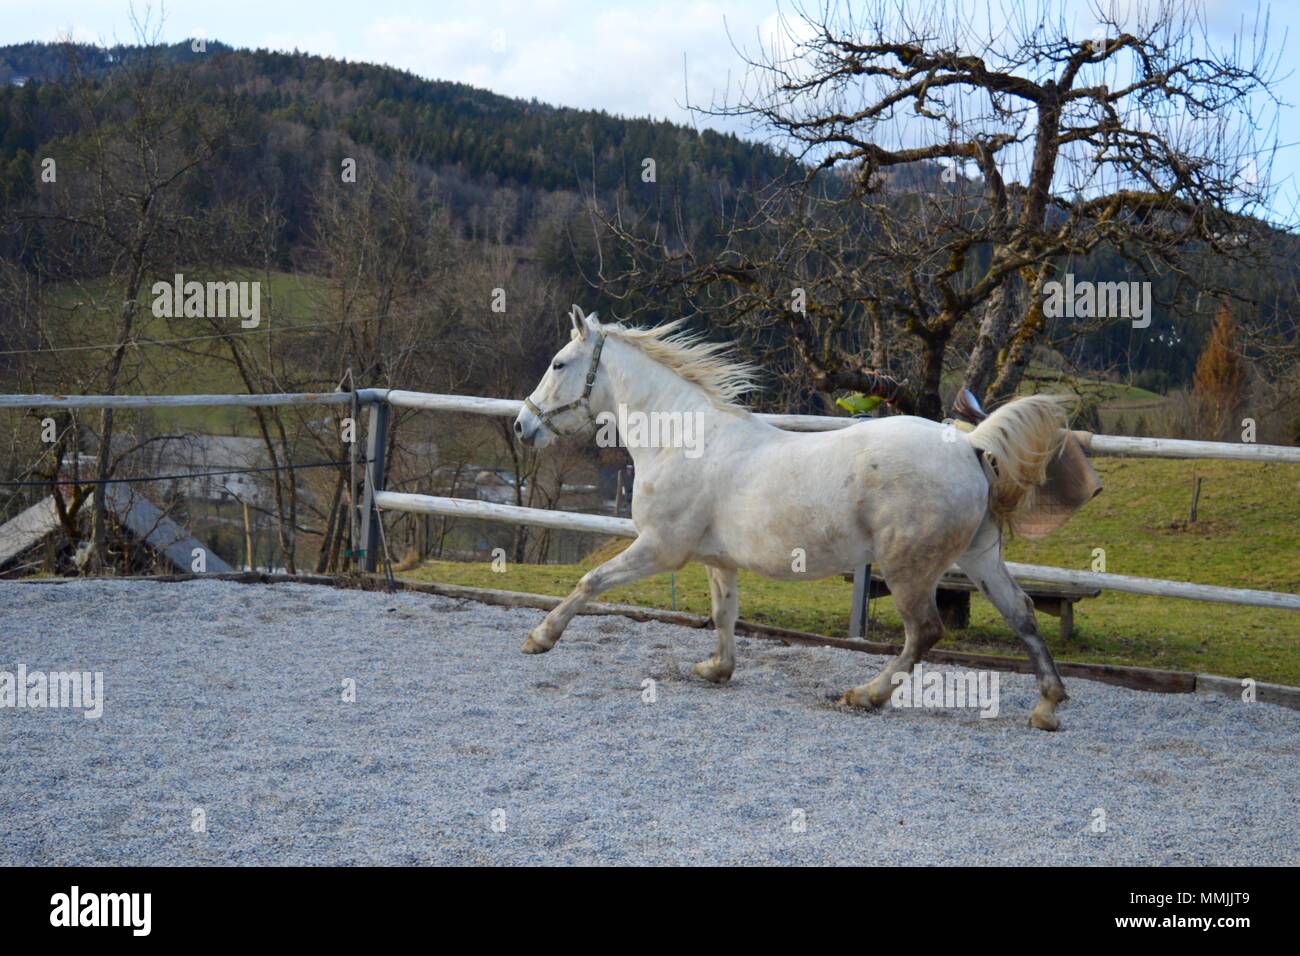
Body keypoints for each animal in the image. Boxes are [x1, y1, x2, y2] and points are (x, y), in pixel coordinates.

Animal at [513, 306, 1073, 730]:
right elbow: (724, 613)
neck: (681, 440)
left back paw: (865, 695)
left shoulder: (660, 548)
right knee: (1021, 611)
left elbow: (591, 581)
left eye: (559, 363)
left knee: (925, 632)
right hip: (978, 557)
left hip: (908, 567)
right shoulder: (717, 559)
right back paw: (1047, 707)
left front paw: (540, 638)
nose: (521, 426)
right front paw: (716, 669)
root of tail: (970, 444)